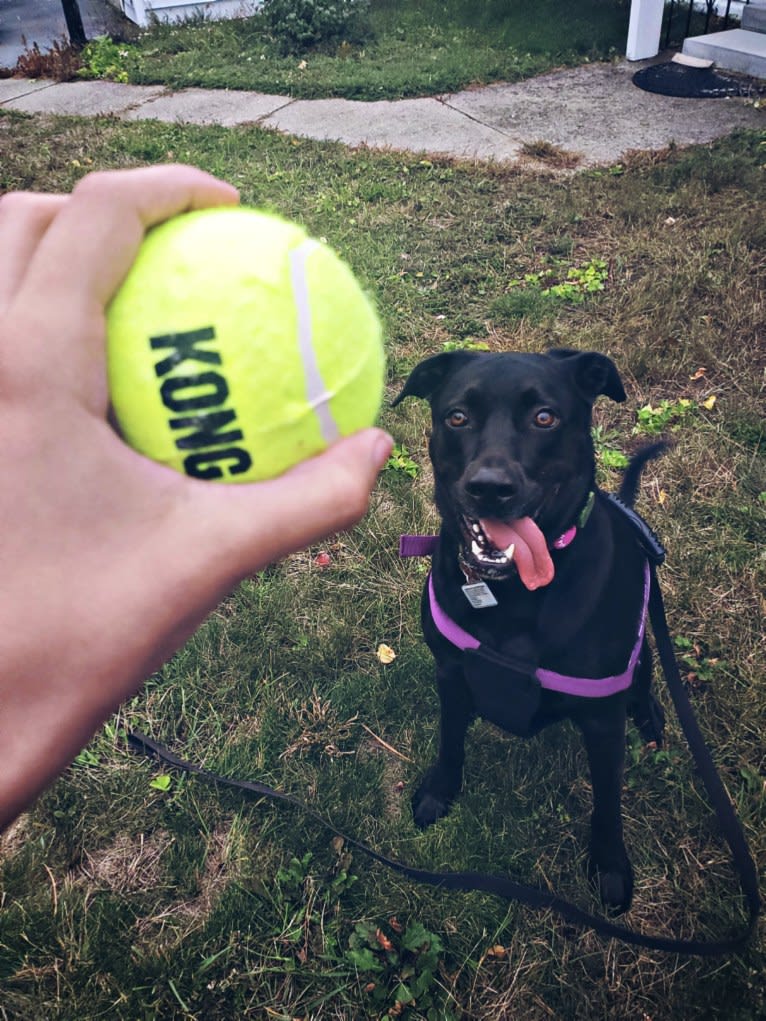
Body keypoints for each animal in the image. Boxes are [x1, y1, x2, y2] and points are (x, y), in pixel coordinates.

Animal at [396, 347, 665, 914]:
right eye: (457, 417)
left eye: (545, 418)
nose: (490, 488)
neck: (514, 593)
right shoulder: (451, 674)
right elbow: (450, 739)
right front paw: (439, 791)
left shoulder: (603, 722)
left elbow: (608, 801)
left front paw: (610, 867)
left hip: (644, 649)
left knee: (646, 677)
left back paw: (650, 714)